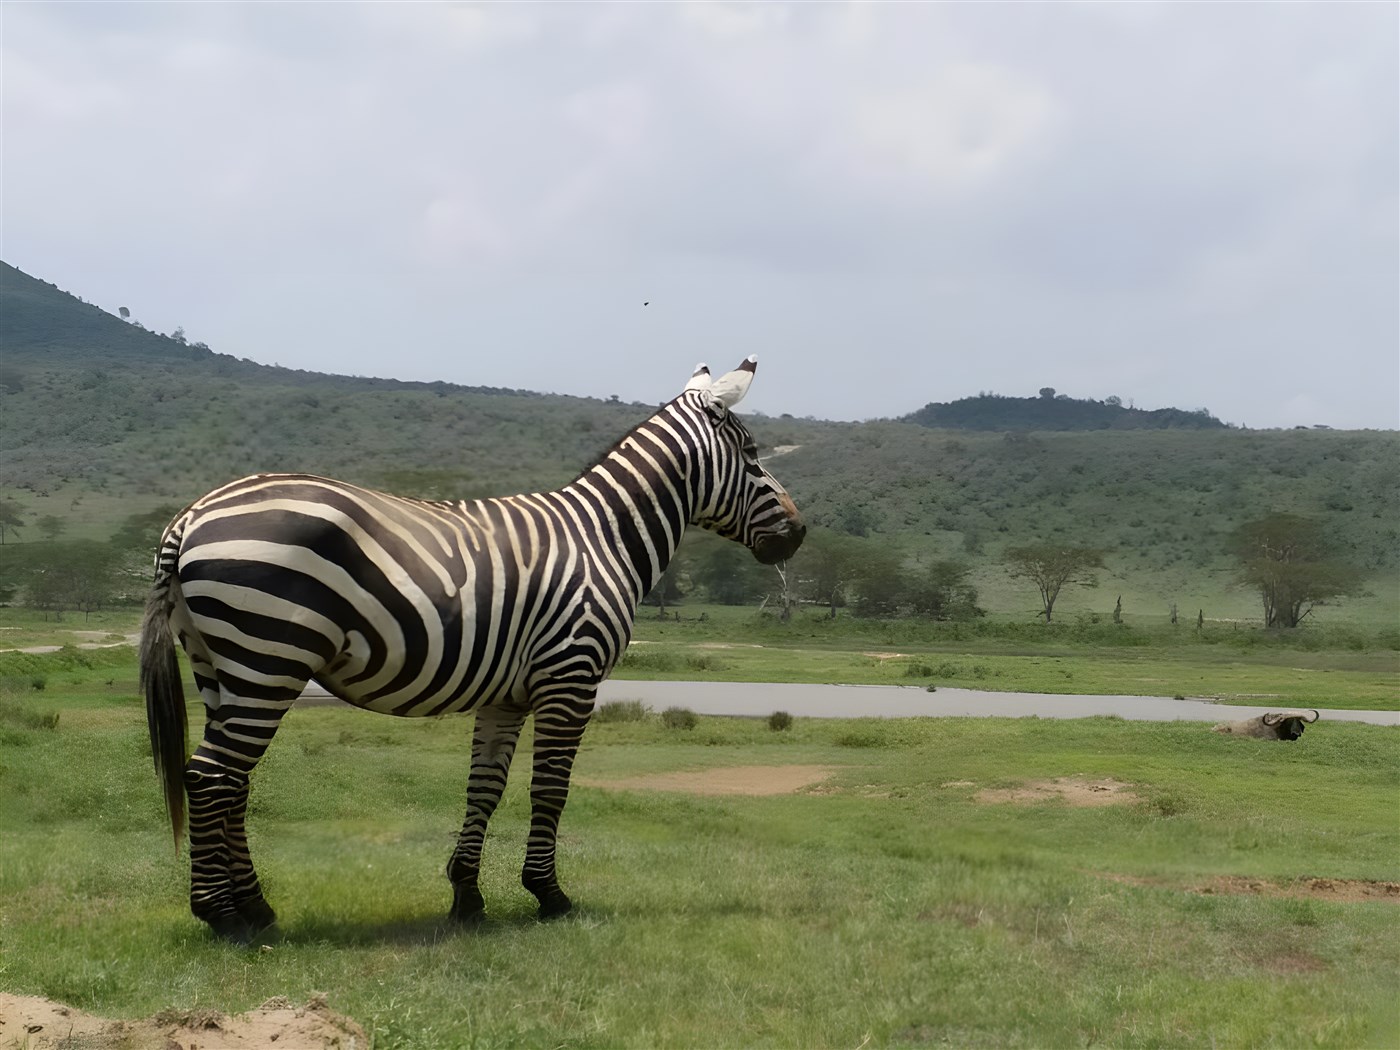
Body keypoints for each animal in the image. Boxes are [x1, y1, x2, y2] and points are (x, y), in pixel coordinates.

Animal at [140, 357, 805, 941]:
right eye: (751, 455)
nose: (798, 534)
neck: (605, 538)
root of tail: (191, 515)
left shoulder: (505, 693)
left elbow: (484, 786)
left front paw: (466, 896)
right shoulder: (572, 677)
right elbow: (550, 789)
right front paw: (549, 895)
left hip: (219, 665)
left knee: (232, 781)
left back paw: (257, 908)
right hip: (268, 656)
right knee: (210, 777)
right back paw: (221, 916)